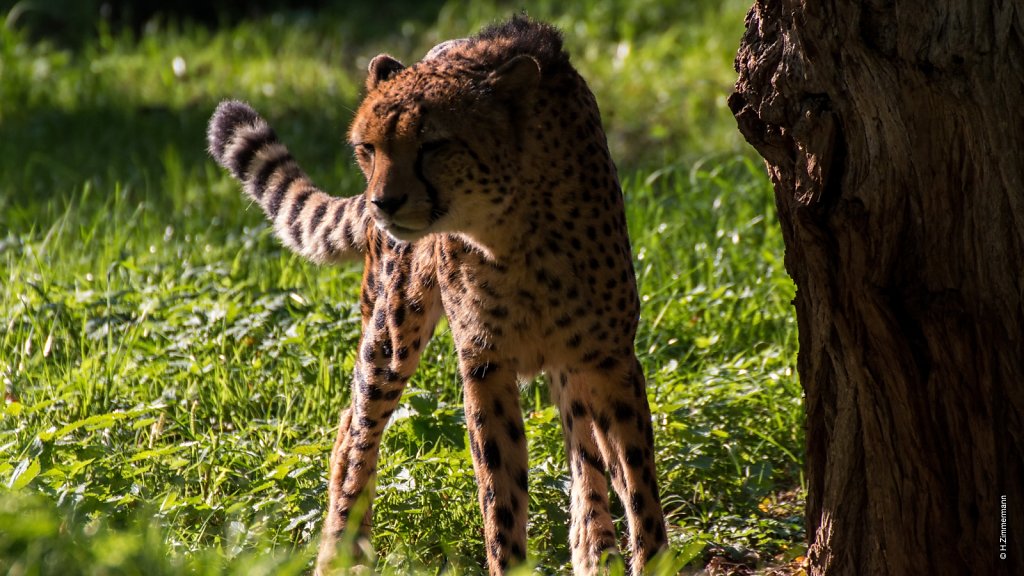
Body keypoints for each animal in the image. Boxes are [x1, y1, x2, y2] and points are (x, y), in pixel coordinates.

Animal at [208, 15, 671, 569]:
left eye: (433, 146)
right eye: (368, 148)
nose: (382, 203)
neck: (510, 233)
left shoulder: (610, 360)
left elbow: (637, 485)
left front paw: (649, 557)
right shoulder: (484, 365)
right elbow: (499, 493)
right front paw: (508, 562)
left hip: (568, 368)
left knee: (585, 458)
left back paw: (592, 549)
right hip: (392, 331)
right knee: (356, 426)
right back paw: (341, 551)